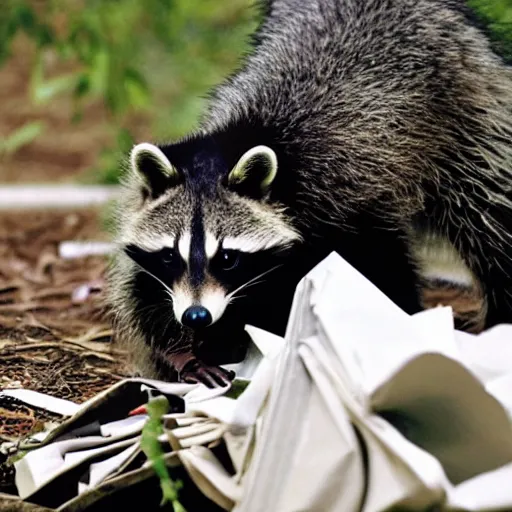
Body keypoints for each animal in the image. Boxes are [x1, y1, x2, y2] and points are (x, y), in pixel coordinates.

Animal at [107, 0, 512, 386]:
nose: (196, 316)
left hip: (468, 115)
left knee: (487, 213)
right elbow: (144, 292)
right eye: (169, 255)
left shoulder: (350, 200)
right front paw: (183, 352)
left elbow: (383, 270)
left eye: (227, 258)